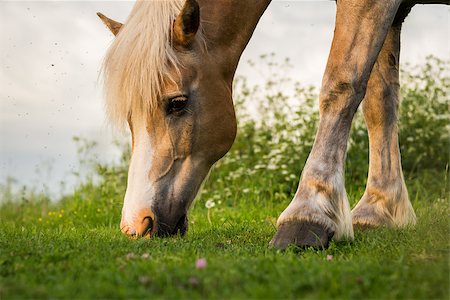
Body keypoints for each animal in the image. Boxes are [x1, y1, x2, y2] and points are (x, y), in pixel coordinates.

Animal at [97, 0, 446, 248]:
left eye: (177, 103)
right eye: (130, 118)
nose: (136, 224)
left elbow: (342, 81)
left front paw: (308, 213)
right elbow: (379, 103)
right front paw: (379, 209)